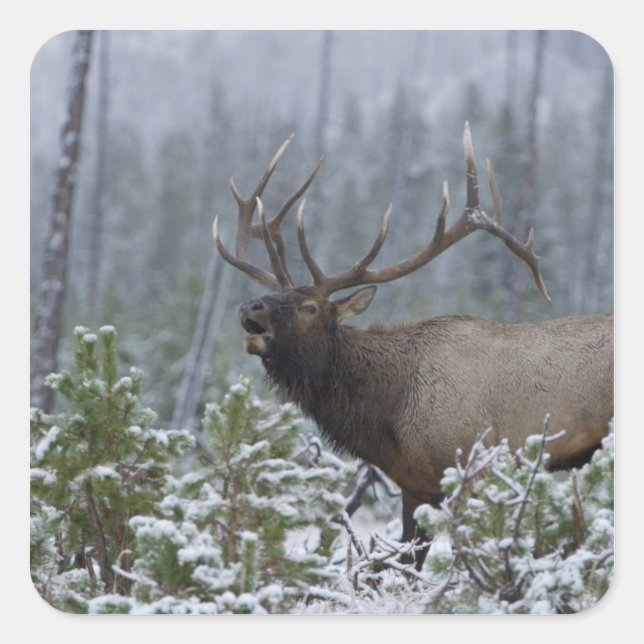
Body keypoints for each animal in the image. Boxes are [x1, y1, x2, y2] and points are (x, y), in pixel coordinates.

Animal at [211, 124, 614, 569]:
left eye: (308, 307)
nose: (249, 306)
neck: (389, 410)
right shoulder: (413, 483)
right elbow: (407, 560)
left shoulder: (470, 467)